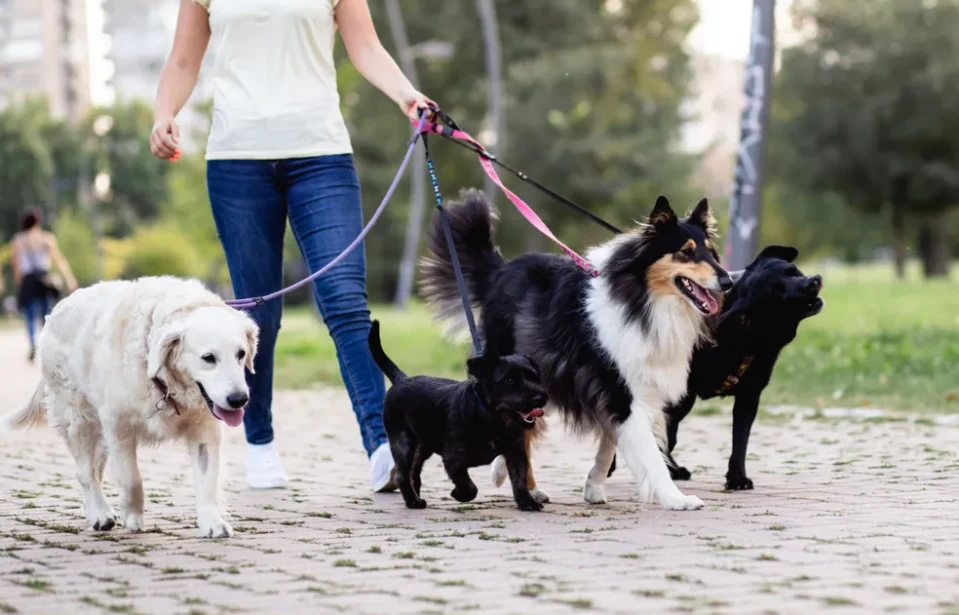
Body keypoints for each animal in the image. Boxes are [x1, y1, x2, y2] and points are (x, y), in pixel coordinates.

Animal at [368, 320, 548, 512]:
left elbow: (519, 480)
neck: (491, 418)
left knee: (413, 471)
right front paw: (459, 494)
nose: (540, 397)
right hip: (402, 442)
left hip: (423, 446)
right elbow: (469, 486)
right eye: (509, 380)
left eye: (534, 377)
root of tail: (401, 379)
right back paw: (413, 501)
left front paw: (527, 502)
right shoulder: (453, 459)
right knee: (402, 474)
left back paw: (414, 495)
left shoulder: (516, 453)